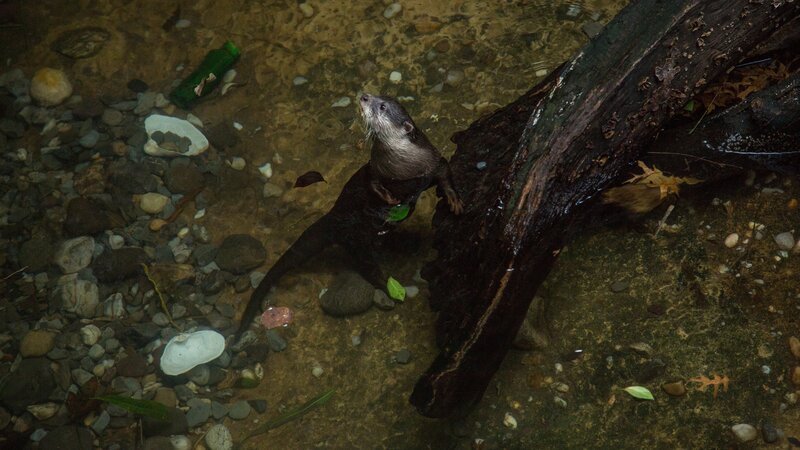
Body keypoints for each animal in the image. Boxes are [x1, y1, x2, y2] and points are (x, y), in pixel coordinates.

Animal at [234, 94, 462, 341]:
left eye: (382, 106)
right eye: (375, 96)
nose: (364, 95)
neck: (402, 168)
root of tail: (333, 218)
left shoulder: (431, 163)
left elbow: (445, 172)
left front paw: (455, 200)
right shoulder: (374, 171)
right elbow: (373, 186)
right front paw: (390, 200)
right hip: (356, 241)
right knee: (367, 267)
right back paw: (387, 284)